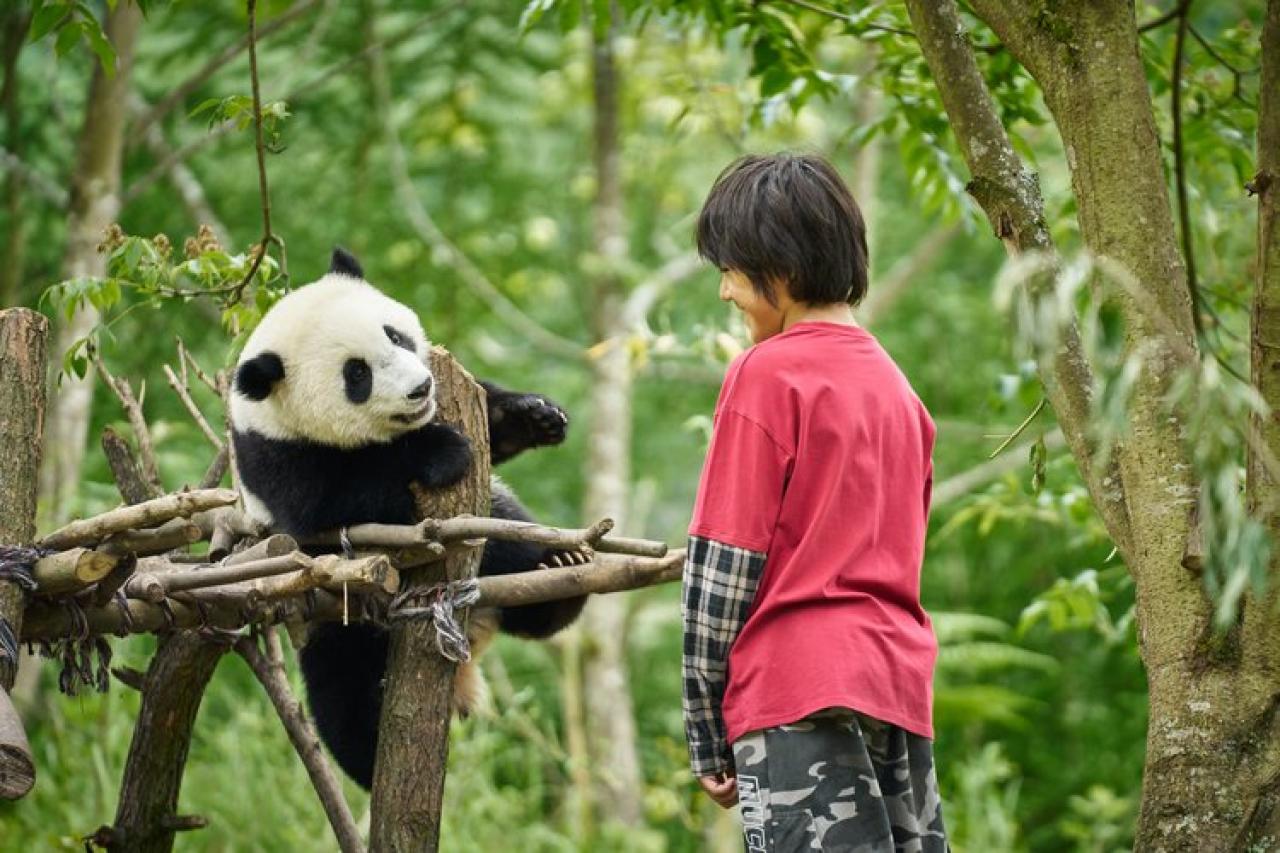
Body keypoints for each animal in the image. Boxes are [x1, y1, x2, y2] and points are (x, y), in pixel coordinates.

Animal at [229, 247, 587, 789]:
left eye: (394, 335)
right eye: (357, 374)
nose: (420, 388)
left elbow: (490, 423)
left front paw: (535, 415)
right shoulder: (279, 460)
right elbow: (341, 499)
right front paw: (440, 450)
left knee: (514, 550)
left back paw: (560, 572)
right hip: (333, 607)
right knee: (344, 690)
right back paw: (371, 759)